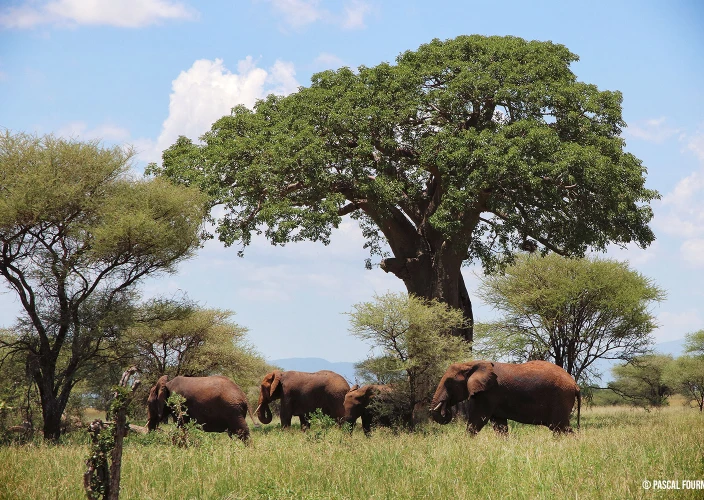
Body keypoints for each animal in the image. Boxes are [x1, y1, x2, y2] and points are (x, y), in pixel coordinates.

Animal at [430, 360, 581, 435]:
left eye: (448, 382)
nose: (445, 409)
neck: (470, 364)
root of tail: (575, 384)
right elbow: (500, 426)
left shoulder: (487, 394)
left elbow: (476, 421)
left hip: (561, 398)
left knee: (561, 428)